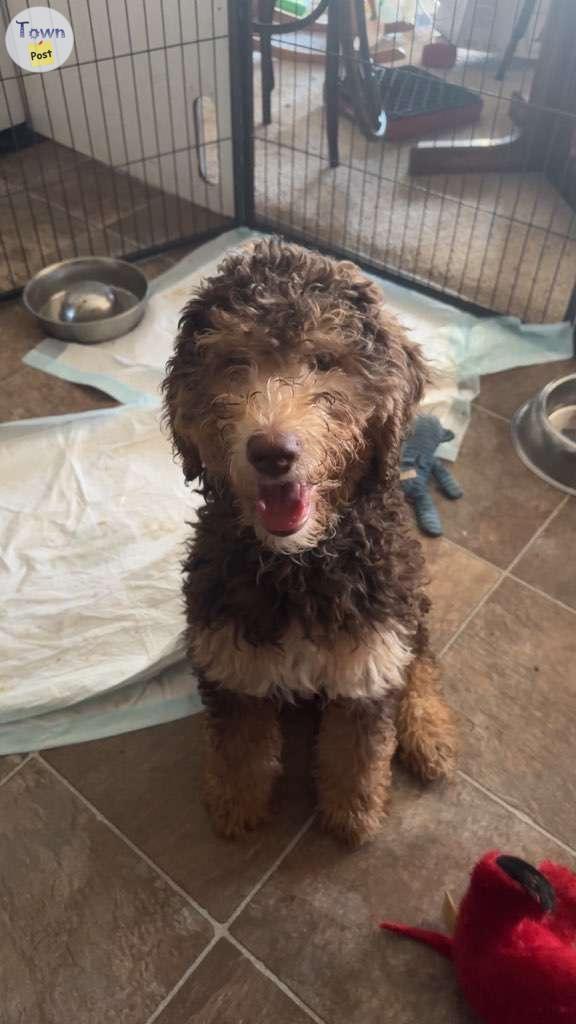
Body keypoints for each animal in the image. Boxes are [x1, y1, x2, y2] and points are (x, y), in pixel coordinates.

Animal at [163, 235, 455, 843]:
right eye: (234, 363)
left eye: (324, 361)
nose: (272, 452)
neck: (302, 565)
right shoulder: (232, 656)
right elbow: (240, 745)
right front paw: (236, 804)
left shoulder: (368, 655)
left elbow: (357, 748)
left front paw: (353, 814)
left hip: (409, 594)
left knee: (420, 658)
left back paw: (430, 729)